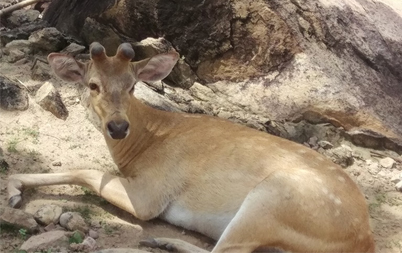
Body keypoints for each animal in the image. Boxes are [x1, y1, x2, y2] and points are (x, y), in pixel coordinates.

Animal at [7, 42, 376, 252]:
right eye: (92, 84)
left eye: (132, 85)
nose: (118, 127)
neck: (144, 144)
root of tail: (364, 241)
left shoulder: (150, 194)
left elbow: (85, 171)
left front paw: (13, 186)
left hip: (269, 201)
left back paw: (161, 241)